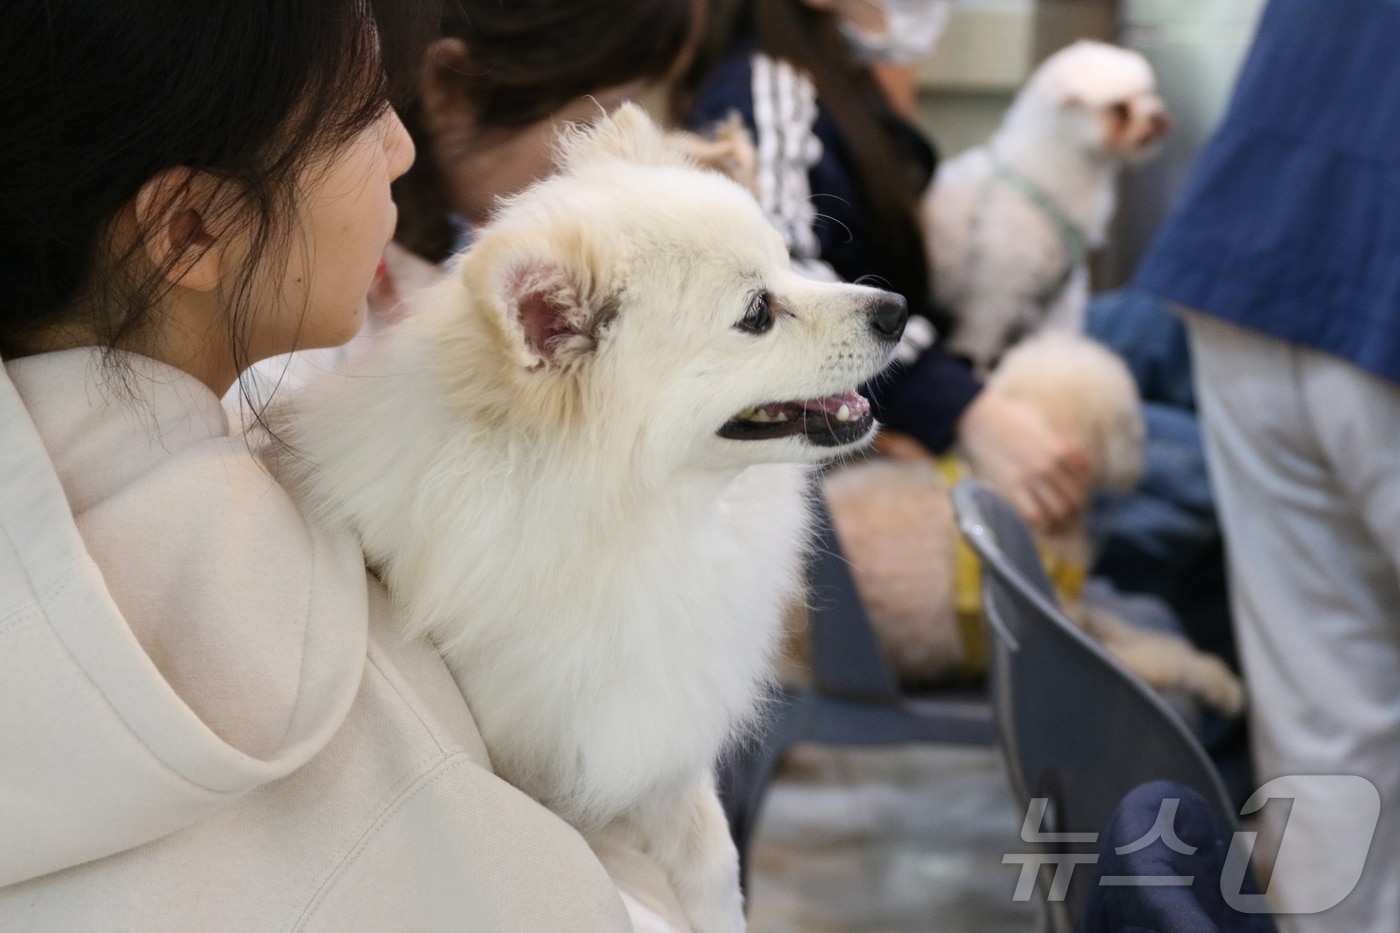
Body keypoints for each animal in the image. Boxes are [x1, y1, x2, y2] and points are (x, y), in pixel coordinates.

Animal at [270, 103, 907, 930]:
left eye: (791, 261)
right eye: (758, 313)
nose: (897, 309)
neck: (641, 529)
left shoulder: (658, 731)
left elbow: (714, 858)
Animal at [918, 39, 1170, 375]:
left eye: (1147, 94)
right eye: (1118, 108)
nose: (1160, 118)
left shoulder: (1061, 296)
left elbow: (1058, 340)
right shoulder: (994, 293)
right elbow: (977, 341)